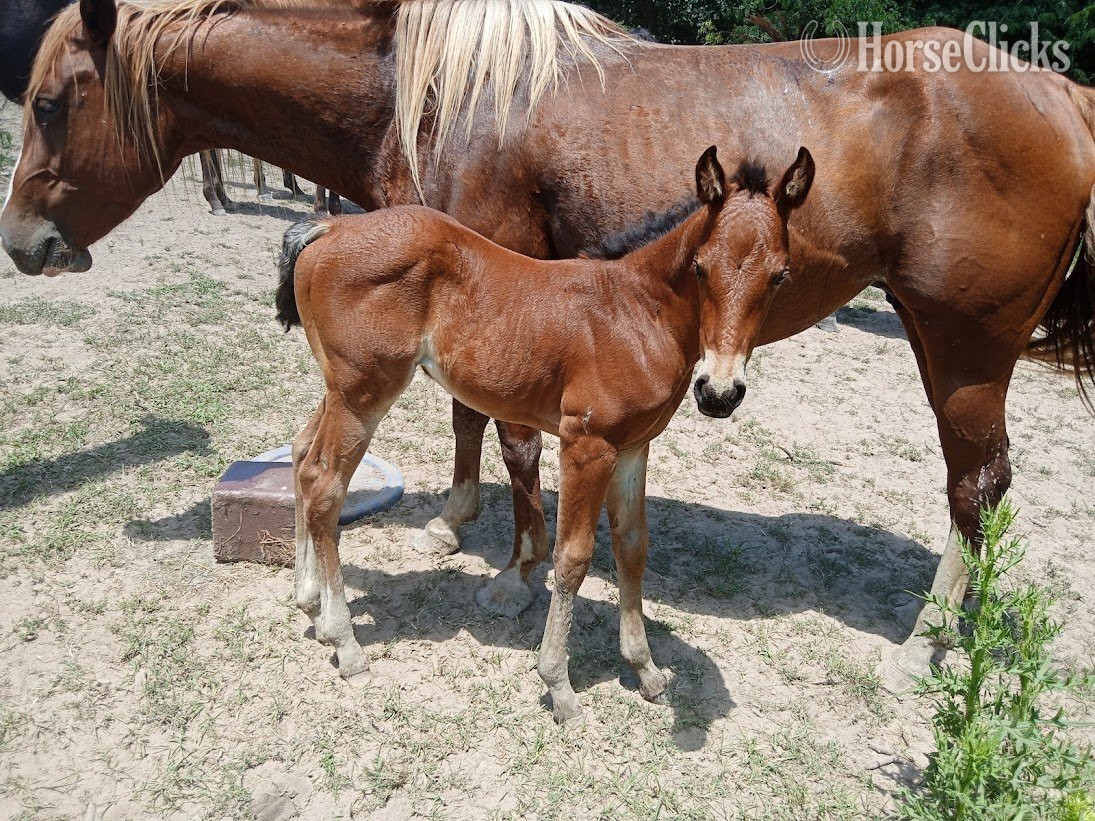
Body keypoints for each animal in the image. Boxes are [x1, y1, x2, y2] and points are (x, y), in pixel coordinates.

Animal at [276, 146, 814, 720]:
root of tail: (330, 227)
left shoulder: (633, 448)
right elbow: (572, 556)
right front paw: (558, 683)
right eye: (700, 267)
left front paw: (645, 669)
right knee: (325, 484)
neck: (637, 312)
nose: (719, 392)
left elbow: (632, 545)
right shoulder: (586, 446)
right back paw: (345, 642)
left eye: (780, 276)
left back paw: (308, 600)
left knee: (302, 457)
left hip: (340, 390)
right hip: (364, 395)